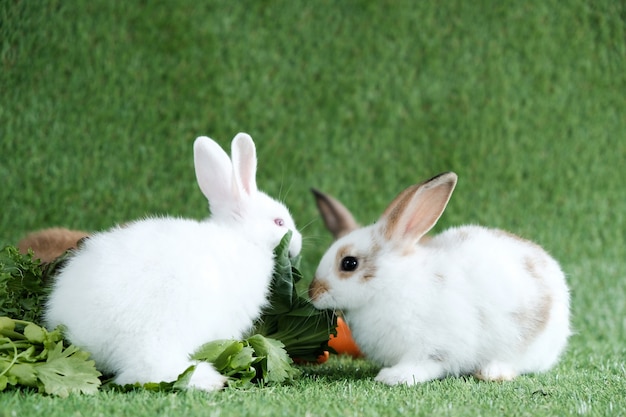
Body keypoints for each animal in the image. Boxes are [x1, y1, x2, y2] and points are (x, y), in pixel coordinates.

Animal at [310, 171, 568, 384]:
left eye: (349, 263)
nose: (313, 293)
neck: (390, 283)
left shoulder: (434, 348)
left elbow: (427, 364)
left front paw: (393, 377)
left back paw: (492, 372)